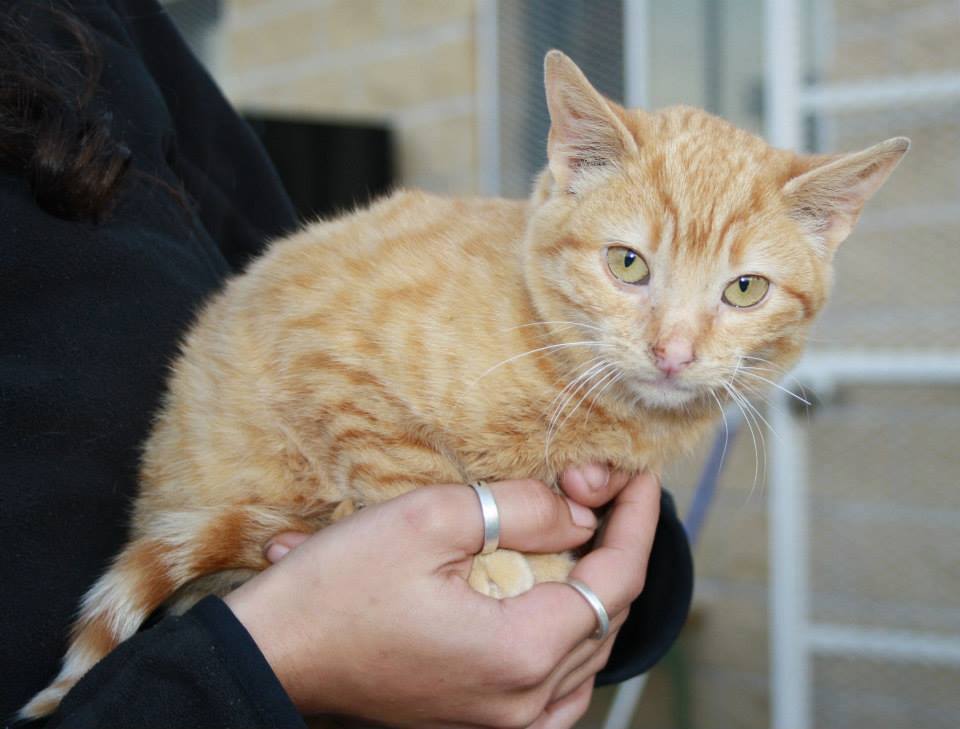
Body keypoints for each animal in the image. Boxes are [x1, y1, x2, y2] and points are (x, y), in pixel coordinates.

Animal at [22, 49, 908, 716]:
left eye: (745, 290)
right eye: (628, 264)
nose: (674, 351)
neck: (553, 364)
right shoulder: (328, 356)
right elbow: (413, 469)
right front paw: (500, 560)